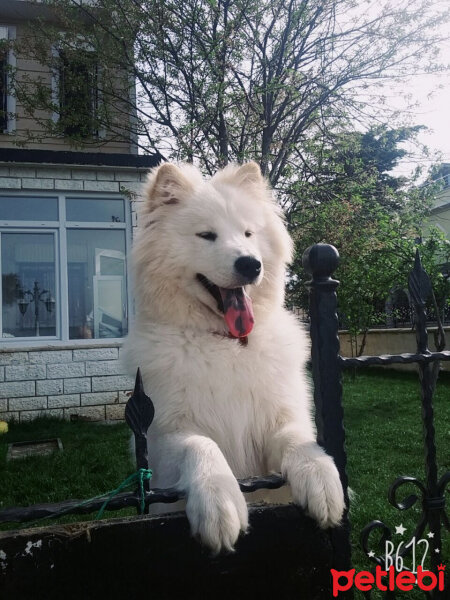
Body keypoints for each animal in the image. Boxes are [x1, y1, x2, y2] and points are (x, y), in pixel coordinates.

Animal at [123, 161, 344, 552]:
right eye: (206, 235)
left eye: (248, 234)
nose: (250, 264)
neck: (229, 343)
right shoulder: (165, 439)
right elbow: (200, 444)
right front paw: (218, 499)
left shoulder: (279, 422)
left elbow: (298, 439)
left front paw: (320, 476)